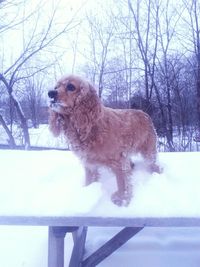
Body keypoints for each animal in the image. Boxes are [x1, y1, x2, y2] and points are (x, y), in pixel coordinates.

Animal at [47, 75, 160, 207]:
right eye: (56, 87)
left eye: (71, 87)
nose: (50, 93)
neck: (91, 127)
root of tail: (145, 114)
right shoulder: (89, 163)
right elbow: (89, 180)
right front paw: (86, 193)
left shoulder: (118, 161)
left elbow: (122, 182)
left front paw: (122, 199)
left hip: (149, 150)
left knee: (153, 163)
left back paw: (155, 172)